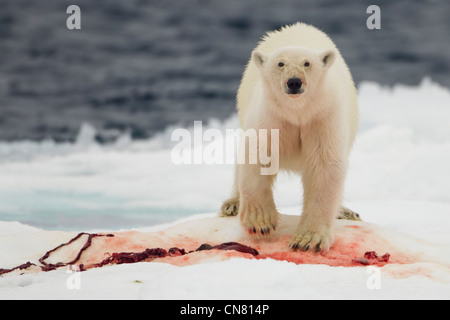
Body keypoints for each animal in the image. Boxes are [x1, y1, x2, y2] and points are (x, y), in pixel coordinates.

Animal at [220, 22, 360, 252]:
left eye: (307, 63)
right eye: (280, 63)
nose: (294, 82)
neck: (297, 113)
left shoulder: (322, 117)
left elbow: (324, 166)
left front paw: (308, 240)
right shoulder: (271, 117)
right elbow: (258, 155)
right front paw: (261, 222)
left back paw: (346, 212)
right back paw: (232, 204)